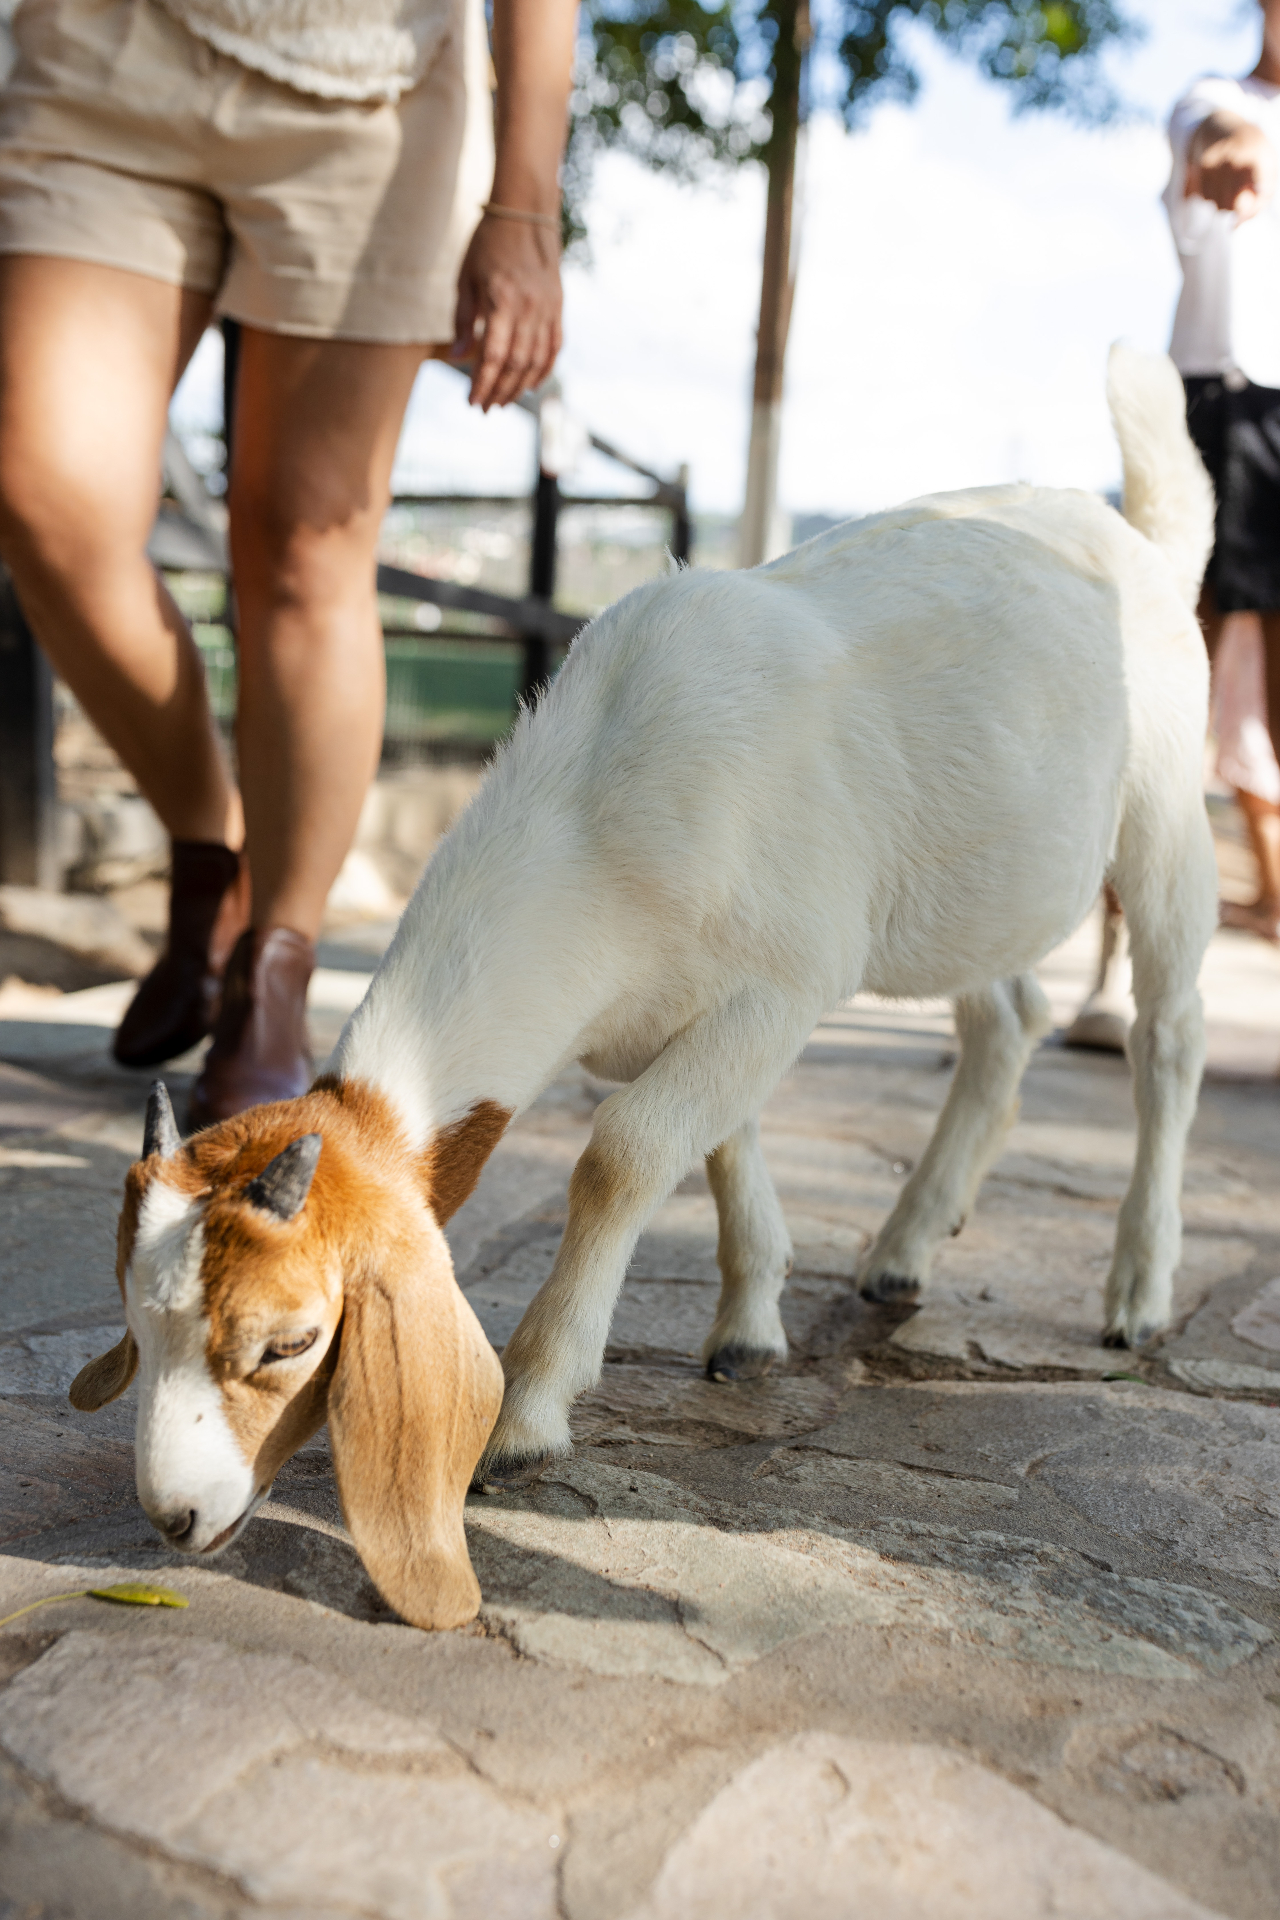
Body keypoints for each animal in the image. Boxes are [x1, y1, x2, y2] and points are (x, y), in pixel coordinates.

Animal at [71, 346, 1218, 1630]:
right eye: (135, 1322)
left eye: (285, 1343)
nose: (173, 1516)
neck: (596, 820)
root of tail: (1138, 538)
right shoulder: (687, 1008)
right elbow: (713, 1140)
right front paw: (752, 1322)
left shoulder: (786, 977)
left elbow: (625, 1152)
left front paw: (528, 1411)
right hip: (969, 889)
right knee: (1006, 1019)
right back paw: (903, 1245)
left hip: (1163, 810)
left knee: (1167, 1036)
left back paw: (1135, 1283)